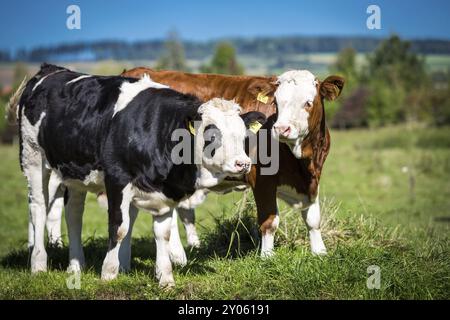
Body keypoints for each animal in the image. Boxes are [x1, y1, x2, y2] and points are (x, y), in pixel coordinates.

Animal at [12, 63, 258, 286]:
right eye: (211, 134)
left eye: (242, 134)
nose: (243, 163)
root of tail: (51, 69)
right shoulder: (117, 179)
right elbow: (119, 227)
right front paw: (109, 273)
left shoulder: (165, 192)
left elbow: (163, 233)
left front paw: (166, 278)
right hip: (33, 158)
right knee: (38, 207)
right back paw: (38, 264)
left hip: (74, 173)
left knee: (74, 213)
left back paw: (76, 265)